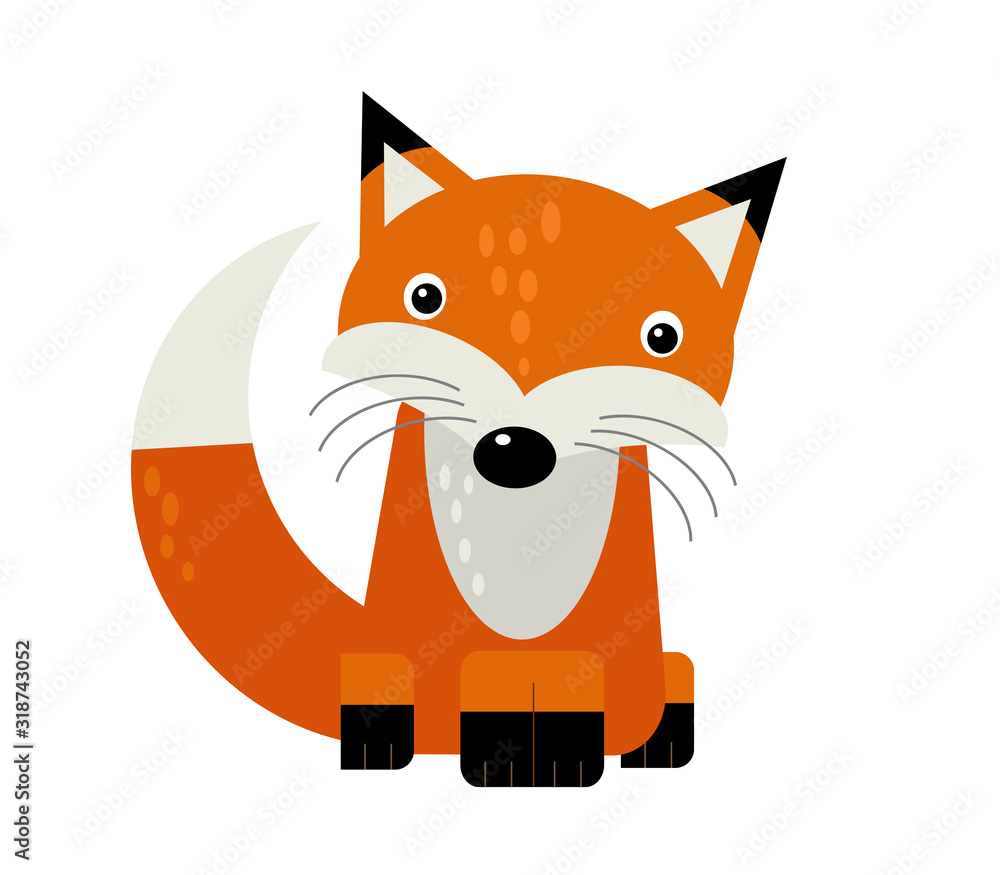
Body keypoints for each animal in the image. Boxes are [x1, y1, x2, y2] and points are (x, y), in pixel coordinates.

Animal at [131, 94, 784, 787]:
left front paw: (559, 753)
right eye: (425, 297)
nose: (516, 448)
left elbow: (573, 687)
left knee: (673, 675)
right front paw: (505, 751)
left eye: (662, 337)